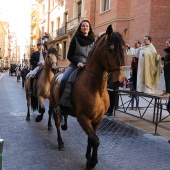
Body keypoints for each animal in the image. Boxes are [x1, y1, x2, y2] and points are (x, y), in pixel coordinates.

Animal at [49, 24, 125, 169]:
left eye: (125, 49)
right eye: (110, 49)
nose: (119, 80)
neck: (96, 89)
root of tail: (56, 74)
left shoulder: (98, 119)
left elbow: (91, 138)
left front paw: (88, 157)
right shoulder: (83, 118)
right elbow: (95, 139)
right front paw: (92, 162)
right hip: (55, 106)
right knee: (56, 122)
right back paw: (60, 142)